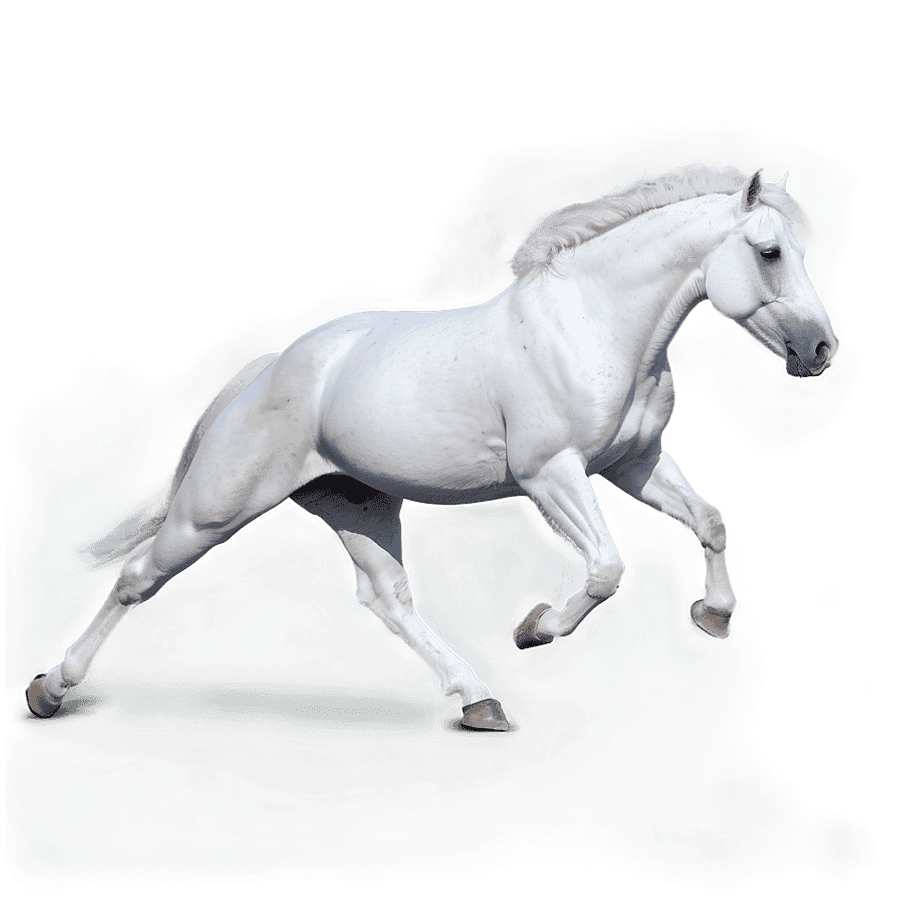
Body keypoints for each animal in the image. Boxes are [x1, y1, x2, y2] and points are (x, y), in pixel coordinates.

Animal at [25, 166, 838, 732]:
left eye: (800, 249)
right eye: (770, 251)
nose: (818, 351)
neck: (592, 327)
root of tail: (269, 370)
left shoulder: (630, 465)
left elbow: (710, 521)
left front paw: (714, 616)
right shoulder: (552, 475)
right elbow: (607, 570)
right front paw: (535, 629)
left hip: (354, 502)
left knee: (387, 598)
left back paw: (478, 703)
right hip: (217, 508)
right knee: (139, 573)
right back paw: (48, 691)